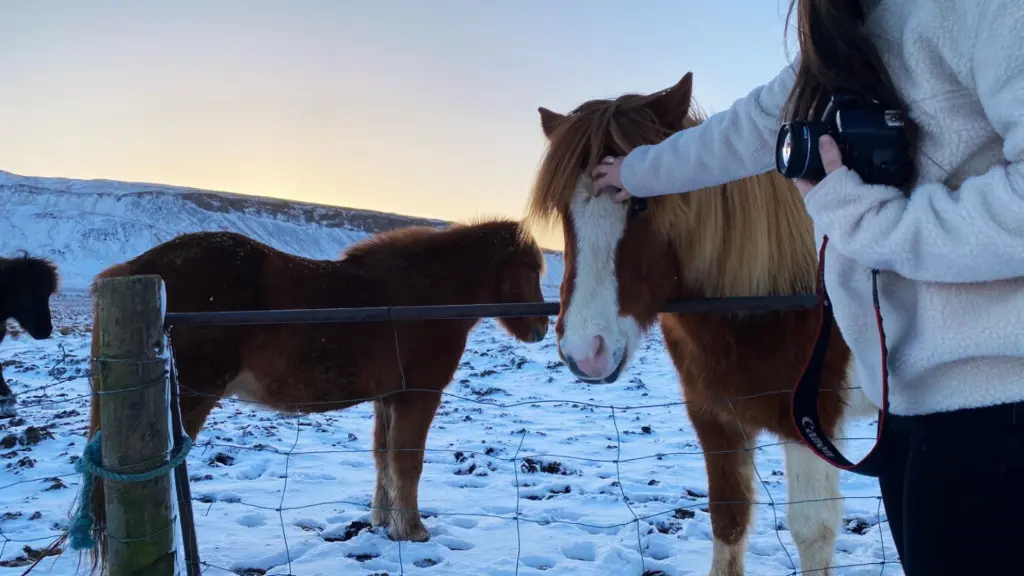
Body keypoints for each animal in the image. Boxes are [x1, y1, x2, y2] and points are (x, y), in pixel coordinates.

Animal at [80, 218, 552, 569]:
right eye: (531, 270)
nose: (540, 329)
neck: (424, 294)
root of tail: (134, 269)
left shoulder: (388, 399)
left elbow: (383, 459)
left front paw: (383, 525)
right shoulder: (419, 395)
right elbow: (407, 463)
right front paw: (413, 531)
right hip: (192, 397)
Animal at [524, 73, 876, 569]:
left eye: (642, 205)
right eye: (560, 209)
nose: (585, 351)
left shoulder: (808, 427)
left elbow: (812, 532)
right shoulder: (715, 419)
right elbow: (728, 521)